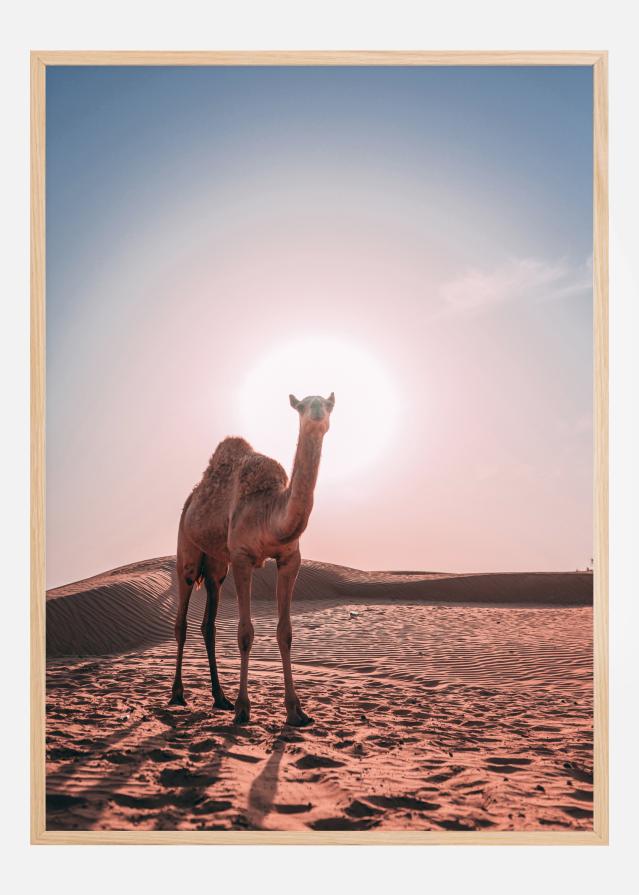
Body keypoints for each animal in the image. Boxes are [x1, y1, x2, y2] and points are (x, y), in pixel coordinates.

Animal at [169, 392, 335, 726]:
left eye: (327, 404)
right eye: (301, 405)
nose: (316, 411)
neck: (270, 513)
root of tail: (192, 499)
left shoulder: (290, 558)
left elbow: (286, 632)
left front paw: (296, 710)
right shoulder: (242, 558)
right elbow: (245, 633)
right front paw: (244, 708)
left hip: (217, 566)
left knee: (208, 624)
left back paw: (220, 697)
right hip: (187, 550)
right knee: (181, 619)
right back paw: (178, 694)